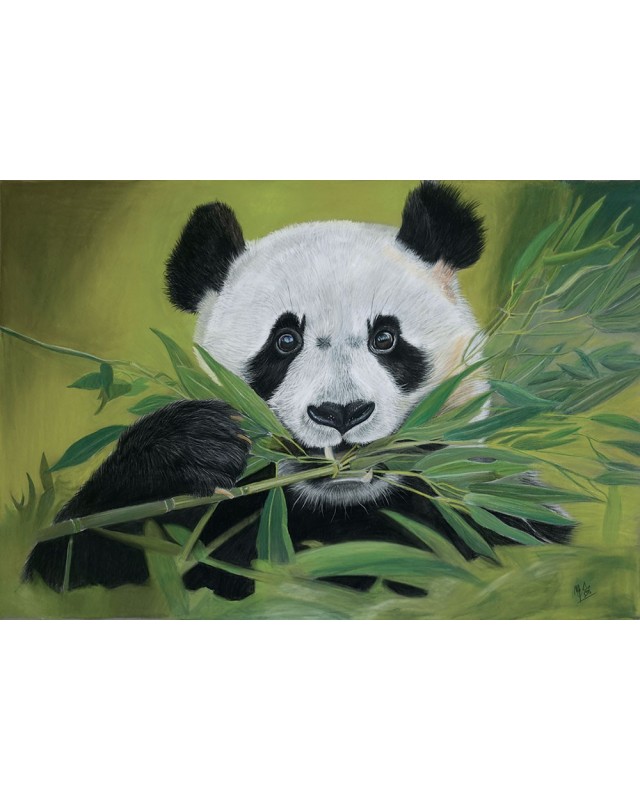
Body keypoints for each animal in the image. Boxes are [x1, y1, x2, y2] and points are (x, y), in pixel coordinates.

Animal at [24, 182, 573, 600]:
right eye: (285, 340)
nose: (342, 412)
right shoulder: (209, 521)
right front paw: (193, 446)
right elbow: (78, 554)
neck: (338, 506)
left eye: (385, 338)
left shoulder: (488, 508)